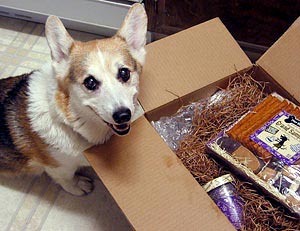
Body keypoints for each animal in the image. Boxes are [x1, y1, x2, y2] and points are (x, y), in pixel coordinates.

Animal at [0, 3, 148, 195]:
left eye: (124, 73)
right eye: (90, 82)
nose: (123, 115)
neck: (72, 122)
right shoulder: (58, 166)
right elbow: (66, 179)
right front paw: (78, 185)